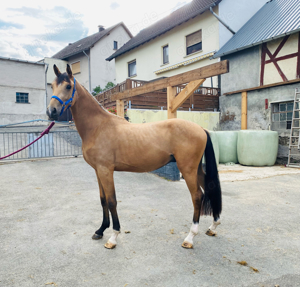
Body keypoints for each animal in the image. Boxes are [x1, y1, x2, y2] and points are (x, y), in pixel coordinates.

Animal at [46, 65, 220, 250]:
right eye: (53, 86)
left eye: (68, 86)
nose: (51, 112)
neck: (98, 127)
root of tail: (201, 129)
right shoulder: (98, 171)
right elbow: (103, 200)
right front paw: (100, 230)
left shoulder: (106, 171)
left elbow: (112, 201)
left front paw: (113, 237)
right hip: (196, 169)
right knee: (209, 188)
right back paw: (213, 227)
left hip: (187, 170)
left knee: (197, 196)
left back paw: (190, 237)